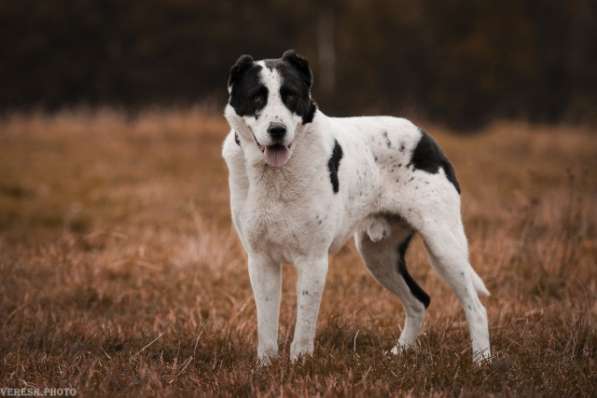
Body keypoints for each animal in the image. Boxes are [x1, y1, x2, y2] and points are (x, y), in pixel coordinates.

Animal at [221, 49, 492, 364]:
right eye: (257, 97)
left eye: (291, 96)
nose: (277, 130)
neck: (275, 174)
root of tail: (425, 136)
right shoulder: (260, 259)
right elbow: (266, 325)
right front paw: (266, 366)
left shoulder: (313, 259)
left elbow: (304, 324)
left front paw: (300, 364)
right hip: (378, 255)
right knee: (419, 301)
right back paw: (398, 353)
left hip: (443, 245)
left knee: (475, 307)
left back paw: (482, 361)